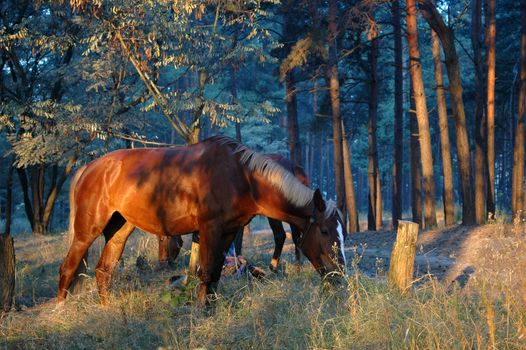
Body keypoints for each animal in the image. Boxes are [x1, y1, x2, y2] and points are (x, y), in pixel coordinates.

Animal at [57, 135, 348, 304]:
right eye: (324, 231)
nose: (340, 277)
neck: (241, 177)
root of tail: (90, 167)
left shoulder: (228, 232)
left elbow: (214, 273)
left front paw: (209, 308)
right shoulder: (210, 229)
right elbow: (205, 272)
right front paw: (199, 311)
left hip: (119, 229)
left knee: (103, 271)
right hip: (87, 230)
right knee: (68, 267)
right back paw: (60, 310)